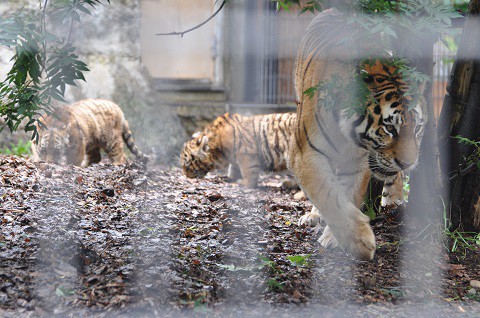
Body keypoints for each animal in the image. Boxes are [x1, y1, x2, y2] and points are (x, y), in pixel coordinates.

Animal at [290, 8, 426, 260]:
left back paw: (395, 200)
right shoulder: (304, 153)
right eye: (389, 128)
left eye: (417, 129)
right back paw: (313, 215)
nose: (407, 163)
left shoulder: (358, 160)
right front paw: (360, 241)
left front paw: (339, 239)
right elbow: (328, 194)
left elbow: (346, 194)